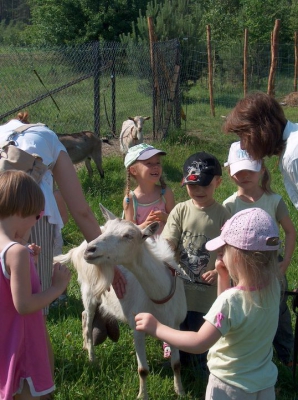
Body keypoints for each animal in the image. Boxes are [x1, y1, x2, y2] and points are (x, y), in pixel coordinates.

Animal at [55, 205, 186, 398]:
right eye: (106, 231)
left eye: (128, 236)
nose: (91, 250)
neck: (159, 295)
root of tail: (77, 249)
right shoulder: (137, 326)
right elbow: (143, 370)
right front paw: (142, 396)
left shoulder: (175, 325)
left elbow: (176, 364)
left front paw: (180, 391)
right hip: (88, 291)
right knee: (88, 318)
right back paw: (92, 359)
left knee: (84, 315)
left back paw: (85, 347)